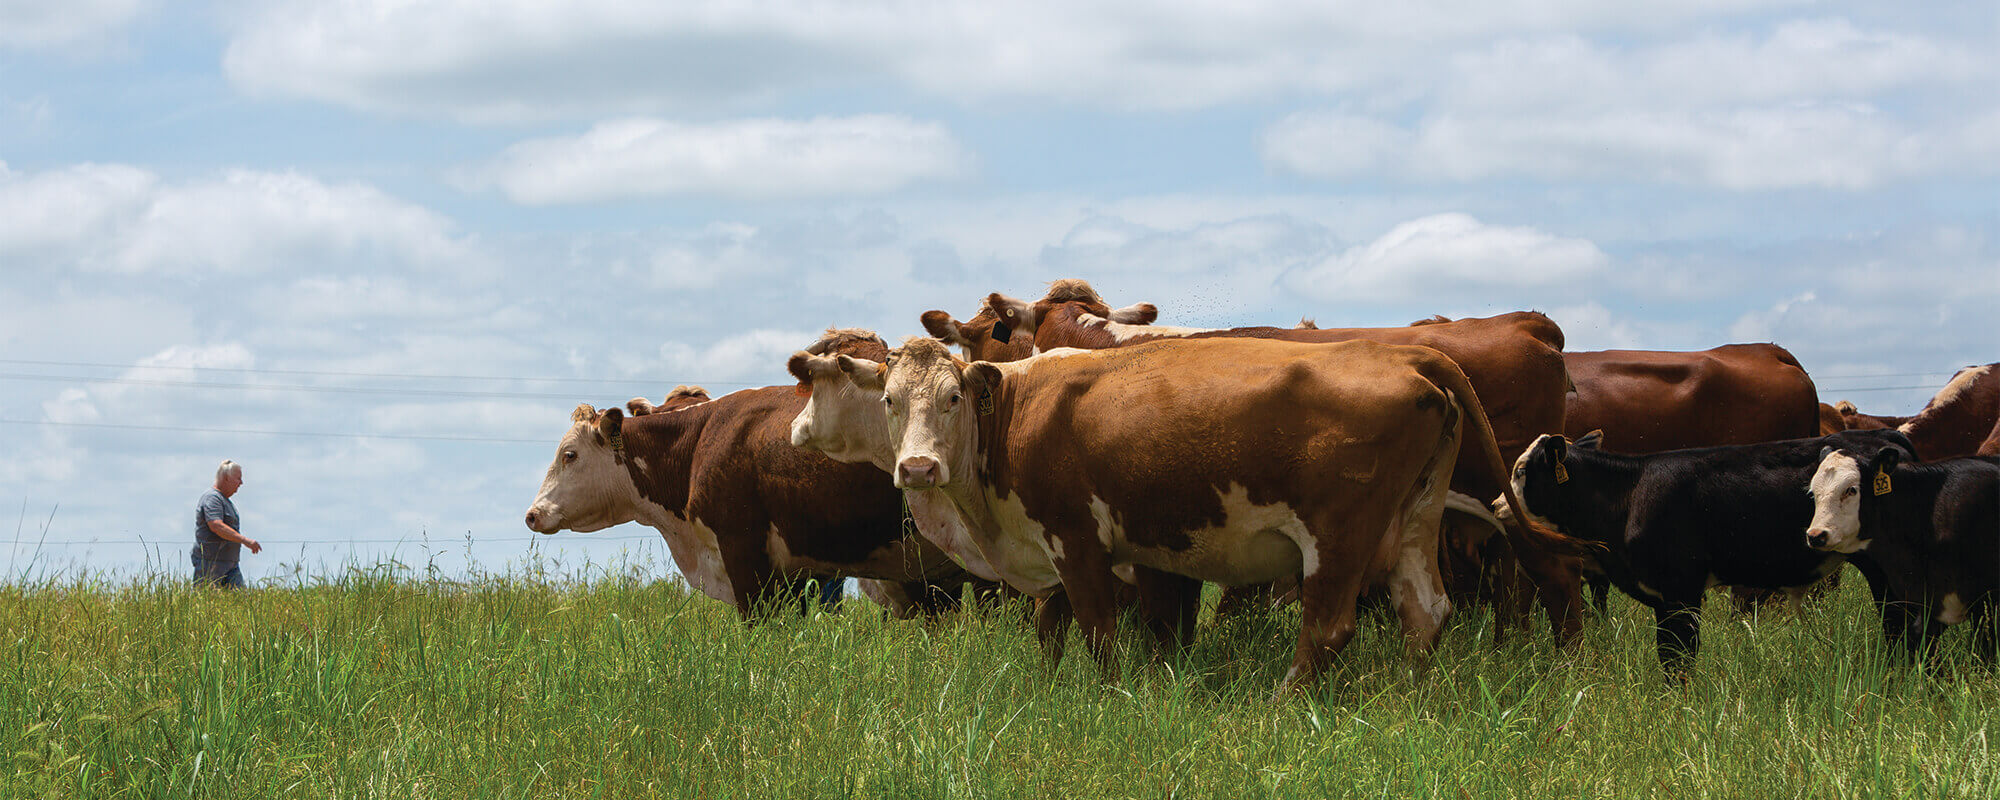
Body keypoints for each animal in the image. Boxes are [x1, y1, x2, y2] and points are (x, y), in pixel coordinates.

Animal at [816, 334, 1592, 692]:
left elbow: (1097, 630)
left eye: (952, 398)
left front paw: (1110, 696)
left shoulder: (1077, 540)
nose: (918, 468)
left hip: (1341, 533)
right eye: (890, 400)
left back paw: (1283, 702)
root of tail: (1406, 351)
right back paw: (1404, 694)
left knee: (1330, 624)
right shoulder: (1124, 552)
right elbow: (1080, 627)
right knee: (1426, 610)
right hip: (1417, 515)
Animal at [1504, 428, 1912, 680]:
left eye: (1522, 470)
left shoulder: (1682, 591)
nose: (1496, 504)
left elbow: (1680, 658)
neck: (1630, 492)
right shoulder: (1664, 599)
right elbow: (1668, 655)